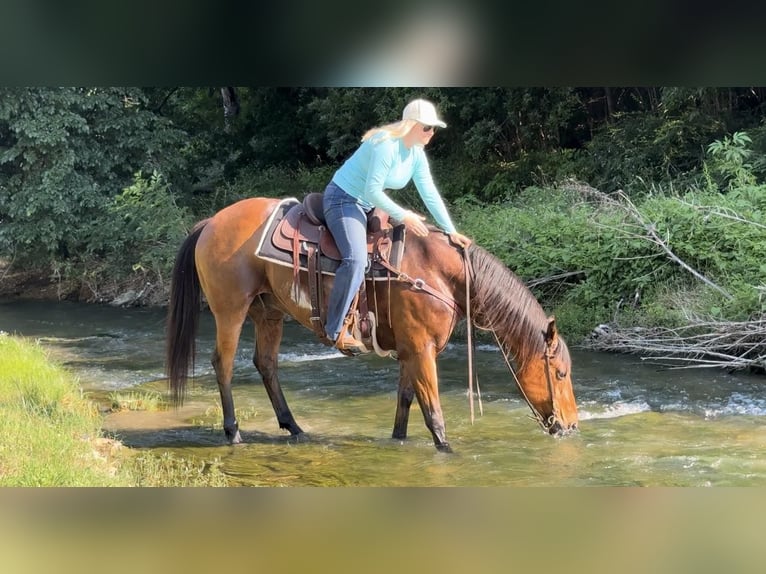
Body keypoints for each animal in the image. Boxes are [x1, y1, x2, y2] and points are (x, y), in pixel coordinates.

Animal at [165, 198, 580, 454]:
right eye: (560, 373)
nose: (571, 426)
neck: (438, 271)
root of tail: (211, 222)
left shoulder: (411, 350)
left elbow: (406, 403)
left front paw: (399, 442)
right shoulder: (422, 350)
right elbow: (433, 411)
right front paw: (447, 452)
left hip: (269, 313)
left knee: (266, 364)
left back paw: (294, 428)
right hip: (230, 310)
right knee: (223, 364)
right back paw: (233, 432)